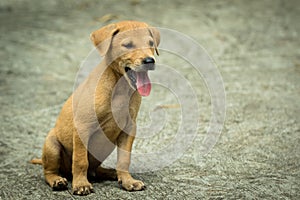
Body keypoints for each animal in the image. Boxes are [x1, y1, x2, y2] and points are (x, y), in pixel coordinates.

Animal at [31, 21, 159, 196]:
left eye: (151, 43)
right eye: (127, 45)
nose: (149, 61)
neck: (119, 88)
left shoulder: (129, 128)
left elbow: (124, 159)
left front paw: (128, 181)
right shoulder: (82, 127)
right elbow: (80, 160)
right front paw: (80, 184)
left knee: (94, 170)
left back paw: (111, 173)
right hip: (52, 145)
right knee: (49, 171)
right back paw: (57, 180)